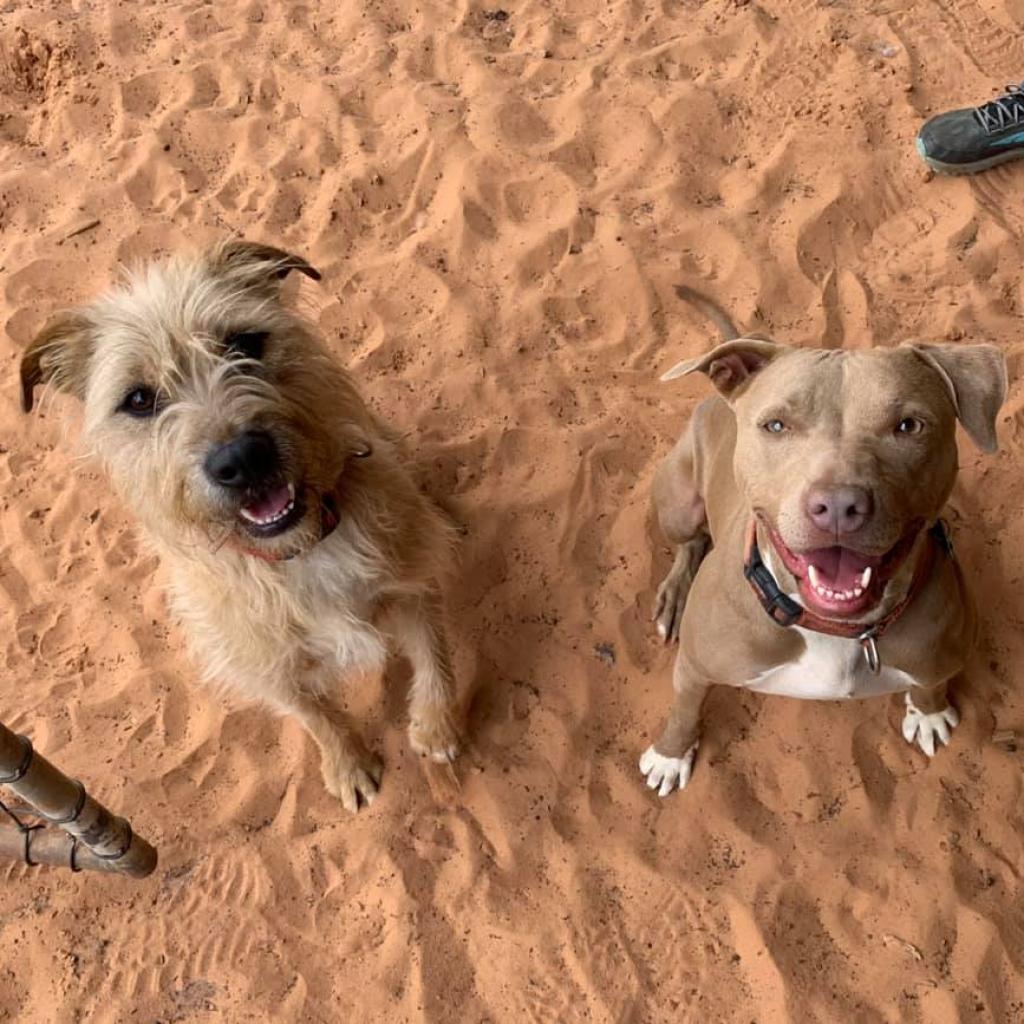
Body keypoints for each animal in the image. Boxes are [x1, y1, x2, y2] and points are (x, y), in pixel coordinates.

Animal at [638, 284, 1007, 794]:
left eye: (909, 425)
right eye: (776, 425)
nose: (836, 505)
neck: (838, 631)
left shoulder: (941, 655)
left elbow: (931, 684)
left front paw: (929, 712)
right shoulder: (695, 666)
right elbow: (685, 709)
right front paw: (670, 754)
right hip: (678, 502)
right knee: (689, 542)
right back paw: (675, 594)